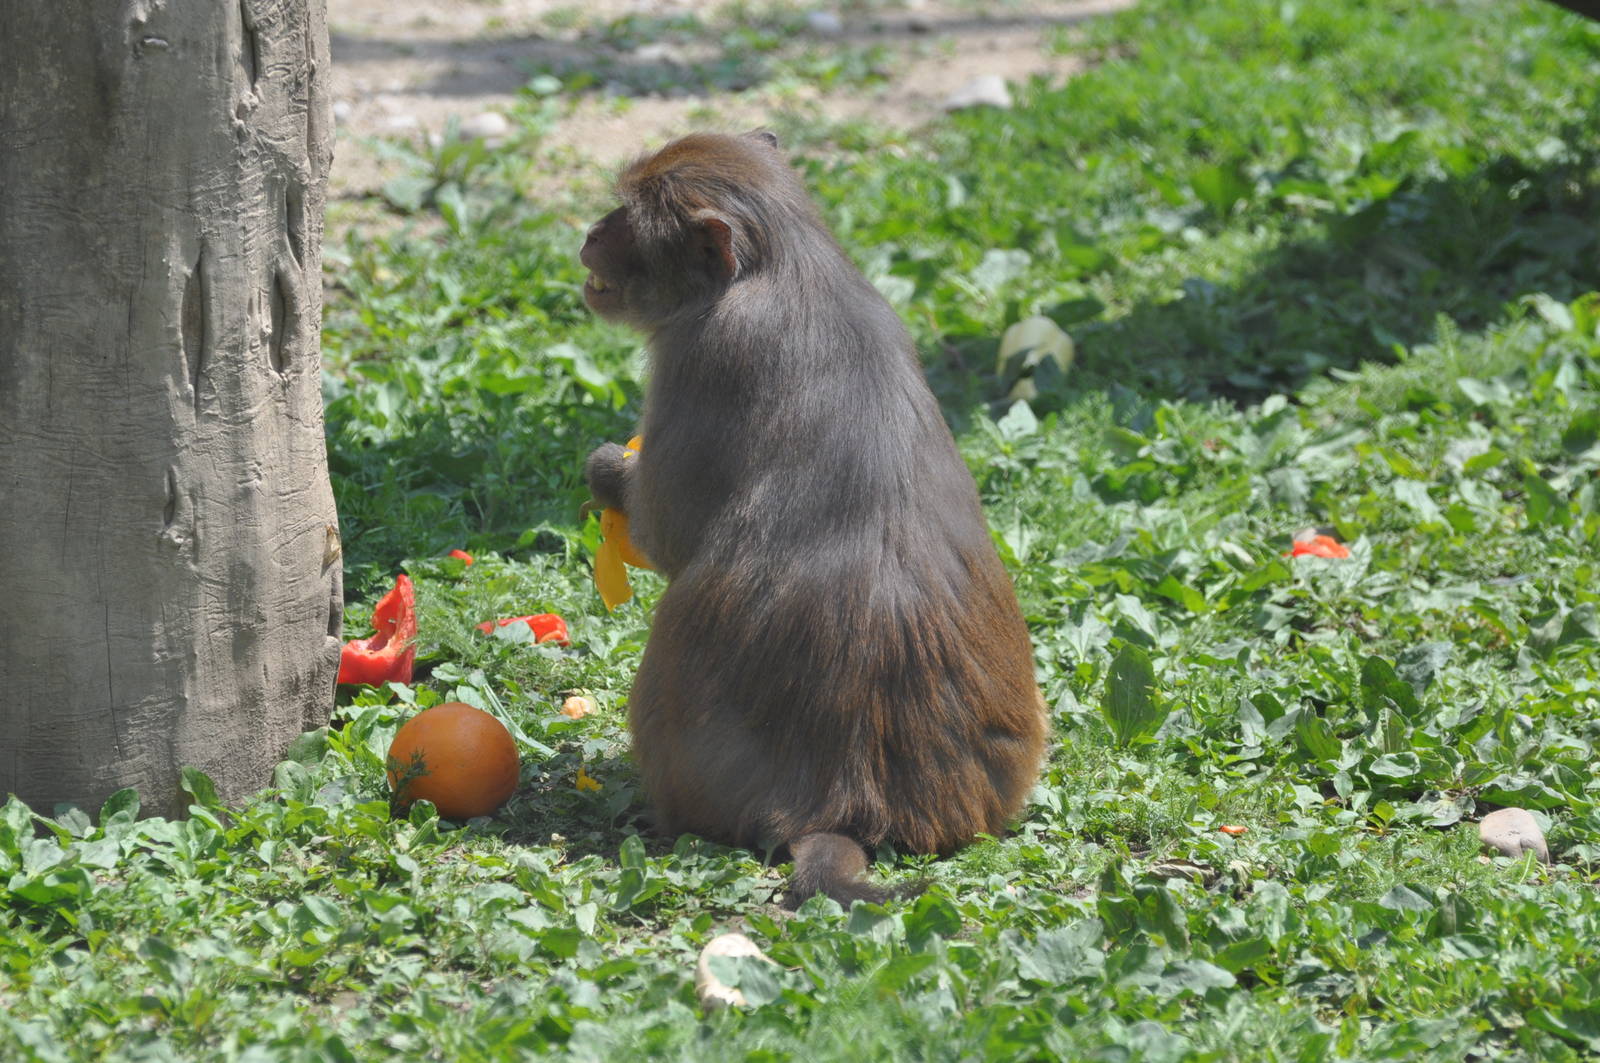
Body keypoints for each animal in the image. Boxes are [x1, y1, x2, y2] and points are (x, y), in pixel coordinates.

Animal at [581, 130, 1047, 906]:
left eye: (627, 217)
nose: (591, 235)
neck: (786, 265)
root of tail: (842, 804)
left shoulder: (702, 352)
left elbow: (667, 533)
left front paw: (609, 470)